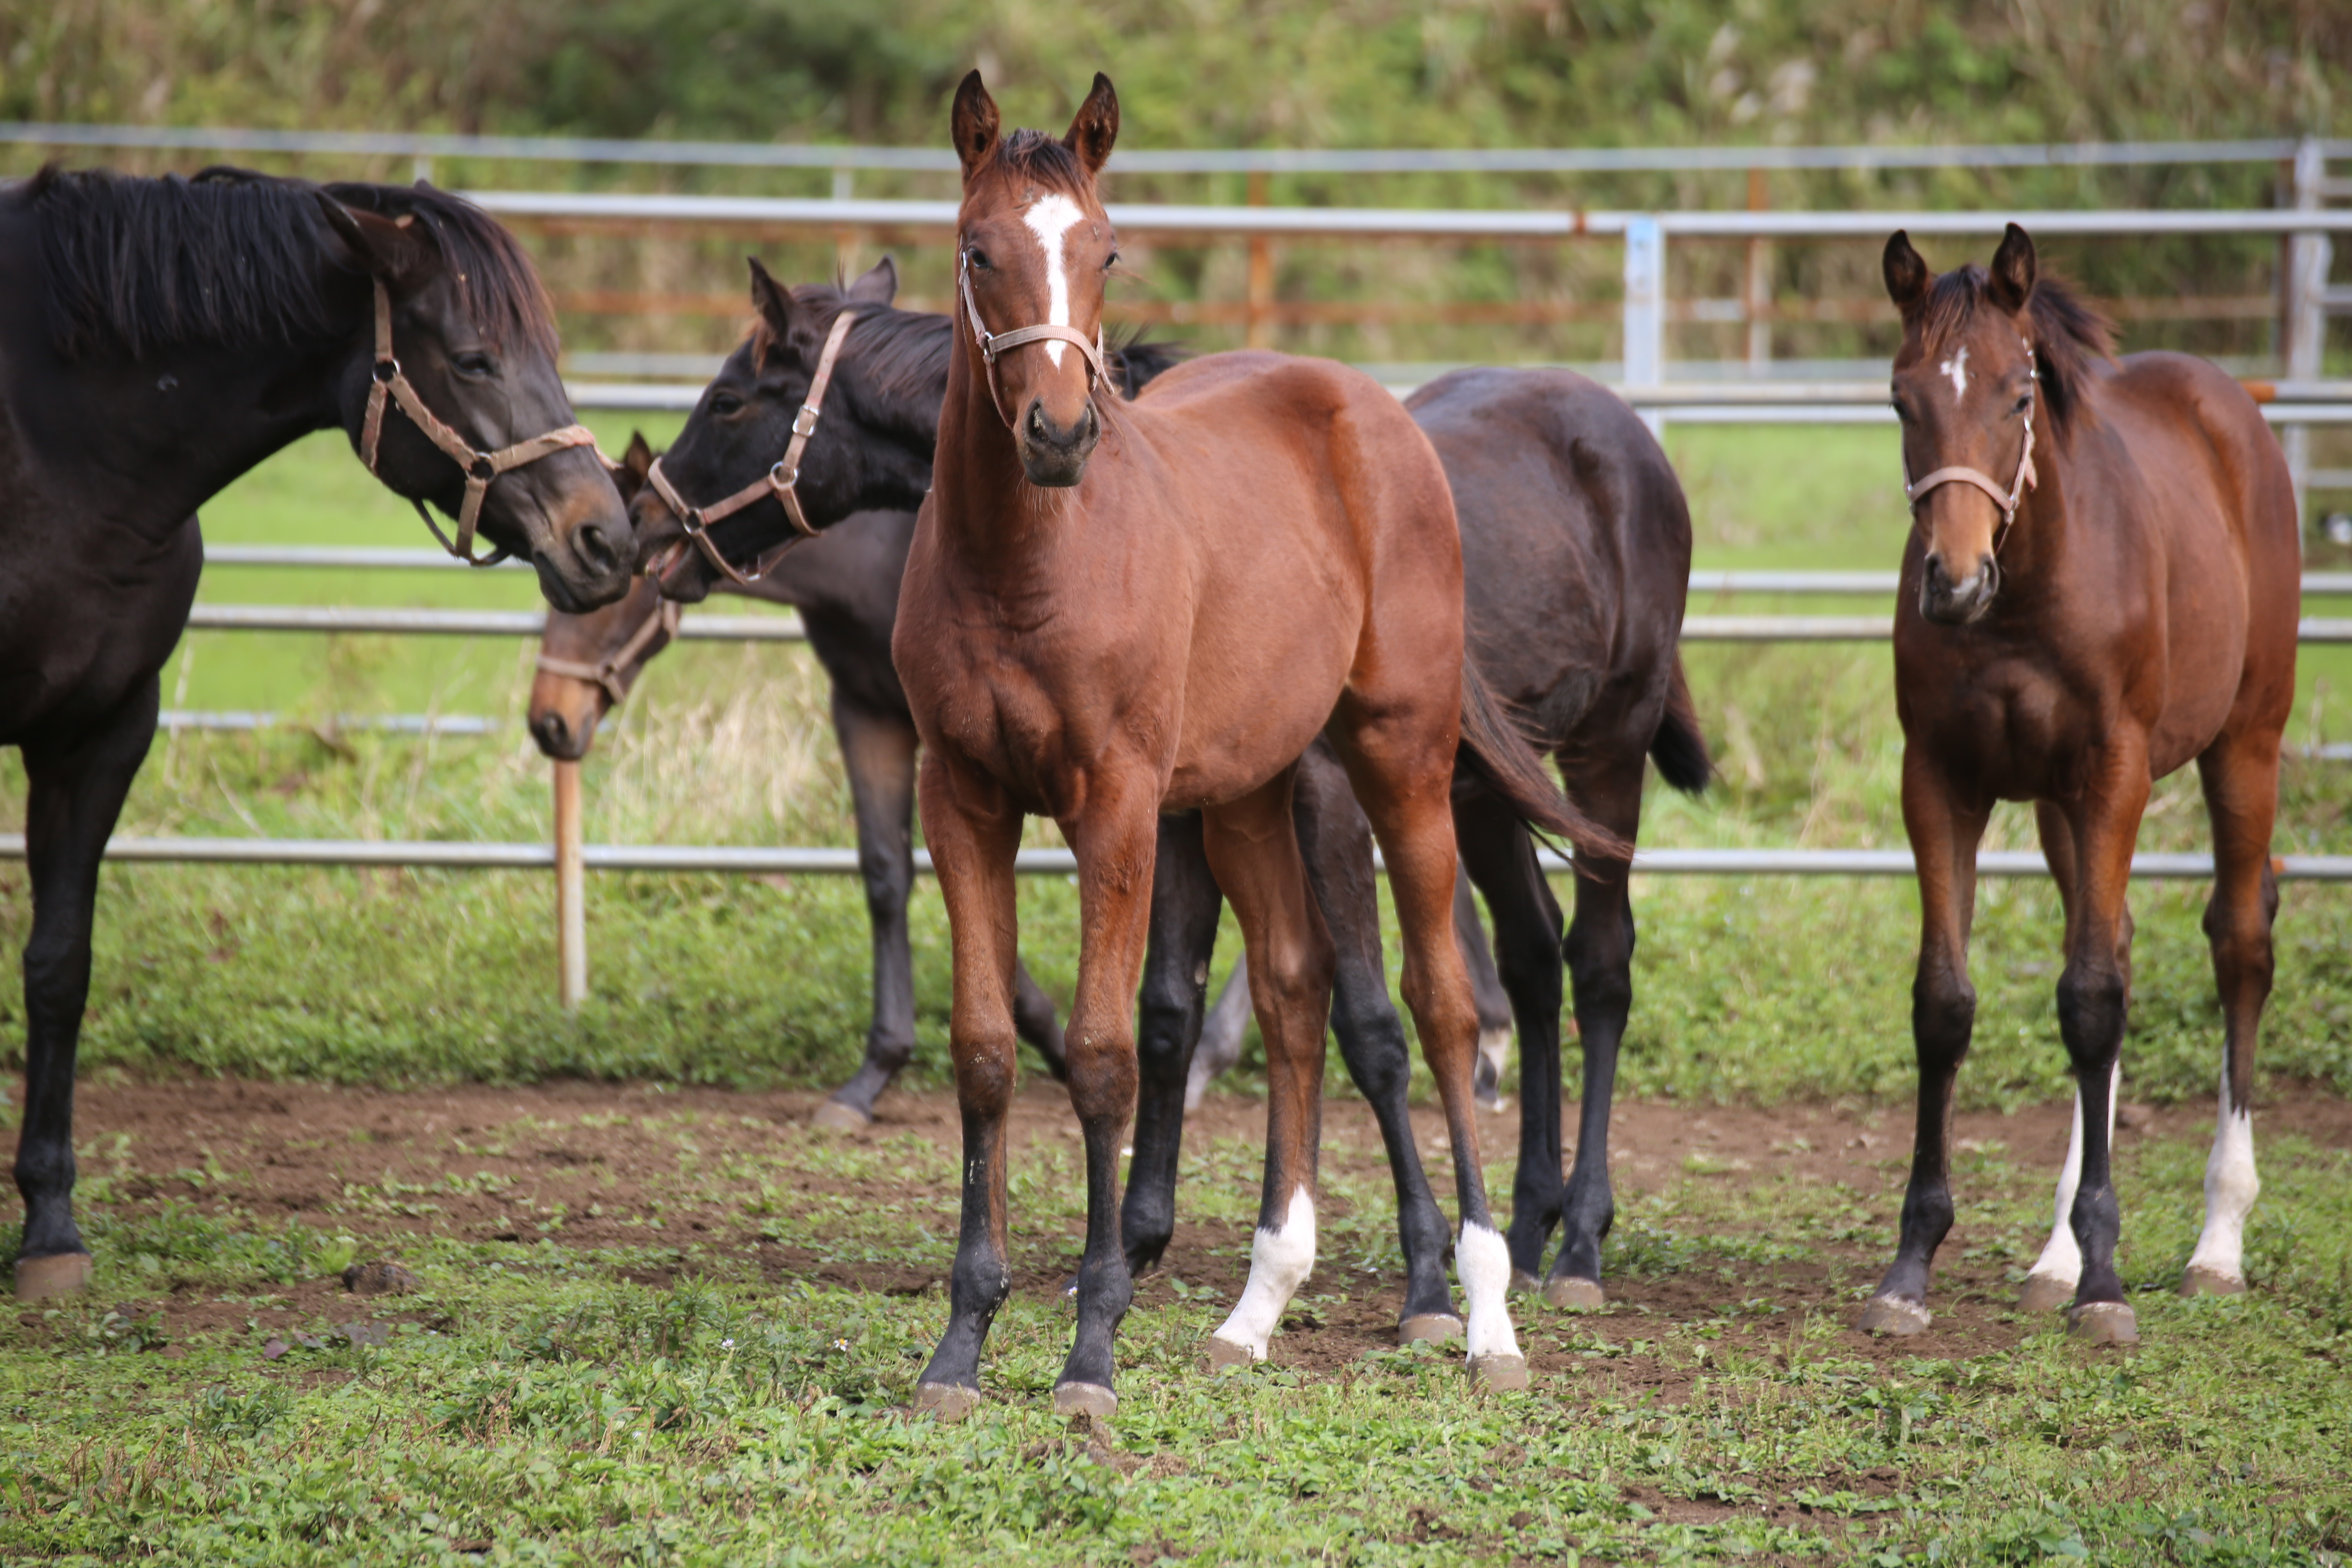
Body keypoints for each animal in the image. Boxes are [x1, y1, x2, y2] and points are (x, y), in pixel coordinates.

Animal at [2, 169, 635, 1297]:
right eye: (474, 359)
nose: (607, 538)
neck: (56, 437)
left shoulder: (104, 729)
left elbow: (59, 964)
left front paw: (51, 1229)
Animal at [893, 76, 1618, 1420]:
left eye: (1105, 248)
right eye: (978, 250)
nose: (1058, 433)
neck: (1030, 565)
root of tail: (1373, 410)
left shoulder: (1119, 806)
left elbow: (1105, 1057)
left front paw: (1089, 1352)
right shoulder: (959, 799)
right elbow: (982, 1052)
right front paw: (959, 1348)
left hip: (1398, 761)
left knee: (1443, 1005)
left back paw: (1487, 1314)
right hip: (1249, 790)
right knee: (1293, 987)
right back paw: (1257, 1305)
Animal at [1853, 223, 2295, 1354]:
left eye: (2018, 395)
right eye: (1900, 399)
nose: (1954, 580)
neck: (2022, 602)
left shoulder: (2114, 774)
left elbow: (2089, 1000)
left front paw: (2107, 1280)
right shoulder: (1940, 781)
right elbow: (1946, 1002)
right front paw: (1910, 1267)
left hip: (2245, 743)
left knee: (2237, 941)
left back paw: (2214, 1241)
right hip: (2058, 805)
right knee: (2118, 943)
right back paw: (2052, 1253)